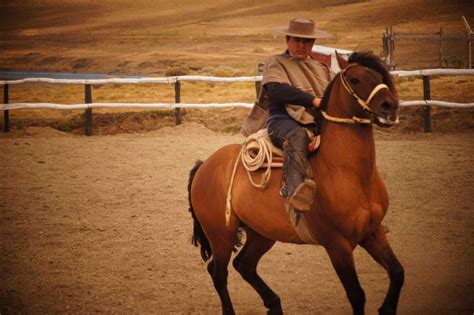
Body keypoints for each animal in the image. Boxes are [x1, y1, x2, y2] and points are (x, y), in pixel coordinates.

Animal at [187, 52, 402, 315]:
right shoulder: (338, 245)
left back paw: (274, 304)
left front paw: (387, 307)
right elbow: (357, 295)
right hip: (221, 235)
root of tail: (205, 165)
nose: (390, 106)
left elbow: (397, 272)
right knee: (219, 272)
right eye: (355, 79)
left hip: (261, 234)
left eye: (381, 77)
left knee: (244, 265)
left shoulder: (373, 232)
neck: (348, 172)